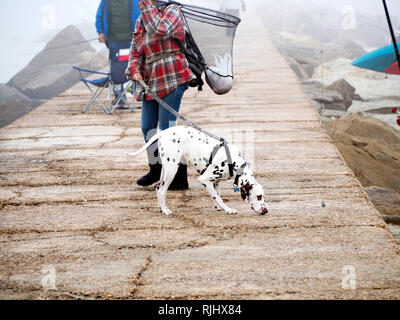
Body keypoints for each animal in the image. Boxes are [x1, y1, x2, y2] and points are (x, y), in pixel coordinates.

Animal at [131, 126, 268, 216]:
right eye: (259, 196)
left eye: (263, 196)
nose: (266, 211)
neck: (234, 162)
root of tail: (164, 132)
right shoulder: (204, 179)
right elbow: (218, 198)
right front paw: (228, 209)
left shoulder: (215, 181)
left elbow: (216, 195)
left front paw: (218, 207)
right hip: (171, 169)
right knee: (161, 190)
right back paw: (165, 210)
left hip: (166, 169)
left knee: (158, 187)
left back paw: (161, 208)